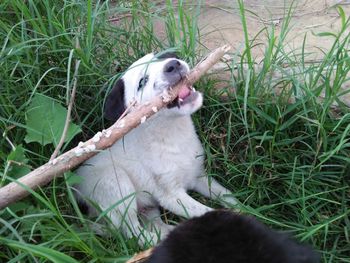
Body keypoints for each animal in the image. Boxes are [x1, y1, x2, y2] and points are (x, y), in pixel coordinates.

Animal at [74, 52, 238, 246]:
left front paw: (245, 208)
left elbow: (227, 195)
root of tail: (74, 189)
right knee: (133, 232)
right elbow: (206, 212)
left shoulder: (198, 176)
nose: (173, 65)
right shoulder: (171, 196)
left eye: (163, 56)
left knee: (155, 225)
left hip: (147, 206)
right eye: (142, 82)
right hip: (116, 185)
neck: (173, 135)